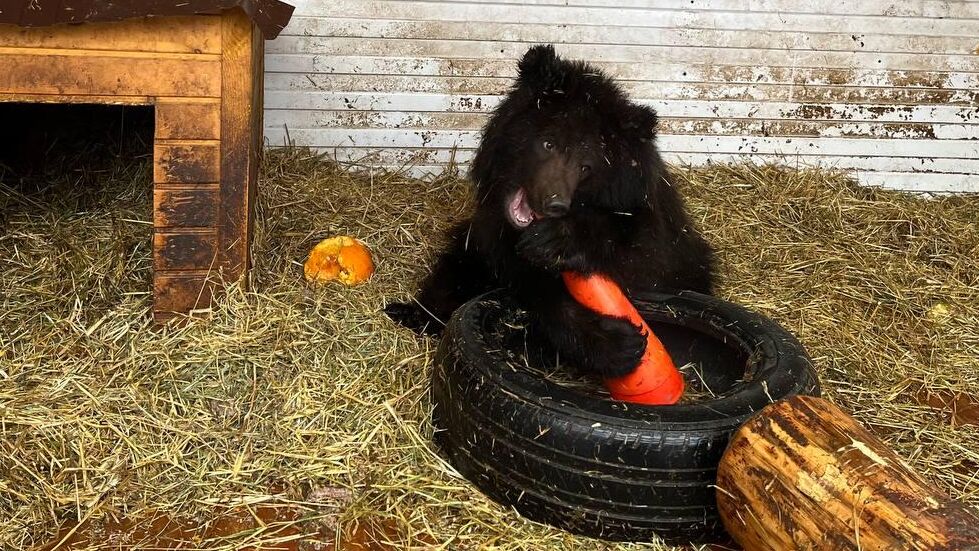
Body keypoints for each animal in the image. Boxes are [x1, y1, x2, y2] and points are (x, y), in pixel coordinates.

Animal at [386, 45, 716, 380]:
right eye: (548, 143)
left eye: (586, 167)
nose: (555, 203)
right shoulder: (490, 236)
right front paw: (617, 341)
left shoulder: (643, 224)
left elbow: (635, 264)